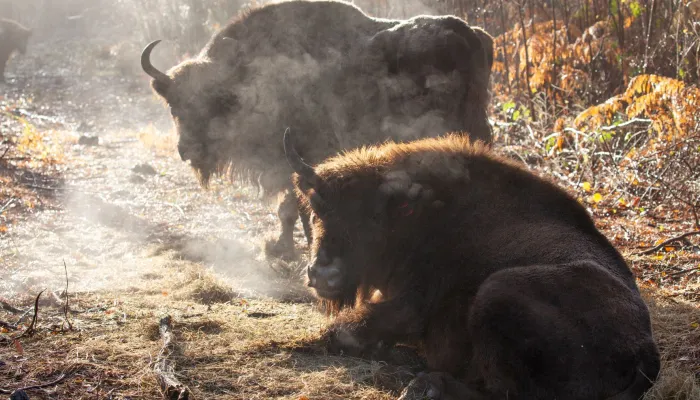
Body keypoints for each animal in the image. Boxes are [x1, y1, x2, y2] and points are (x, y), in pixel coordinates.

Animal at [141, 0, 492, 260]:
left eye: (213, 104)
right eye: (174, 106)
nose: (186, 150)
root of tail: (469, 34)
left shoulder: (295, 158)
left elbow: (290, 207)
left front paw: (285, 247)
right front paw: (281, 247)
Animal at [282, 131, 660, 400]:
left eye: (375, 218)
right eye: (317, 211)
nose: (322, 273)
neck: (421, 216)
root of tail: (647, 351)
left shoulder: (410, 306)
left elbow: (341, 331)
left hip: (497, 291)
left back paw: (425, 385)